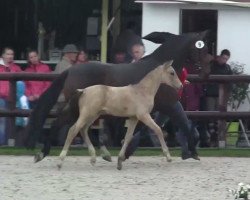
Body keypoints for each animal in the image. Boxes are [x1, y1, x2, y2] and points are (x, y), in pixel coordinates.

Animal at [24, 30, 211, 162]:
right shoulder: (169, 105)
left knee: (82, 128)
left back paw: (101, 153)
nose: (206, 74)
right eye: (200, 48)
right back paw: (44, 153)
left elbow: (149, 129)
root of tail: (71, 70)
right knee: (67, 125)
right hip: (79, 108)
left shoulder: (158, 108)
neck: (158, 72)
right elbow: (179, 125)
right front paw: (192, 152)